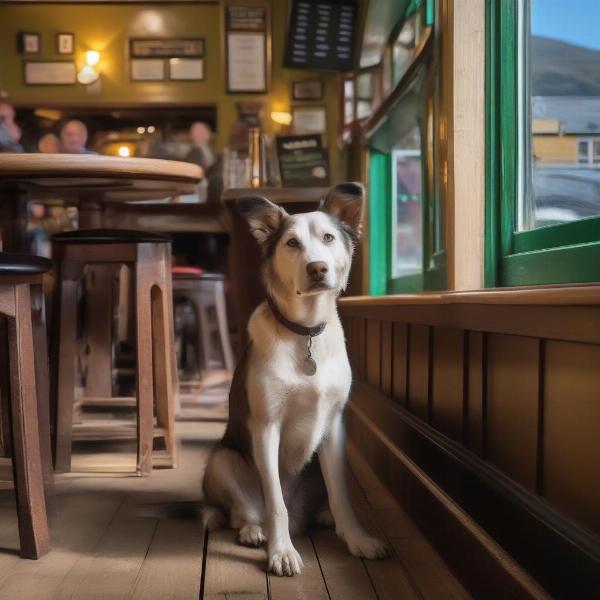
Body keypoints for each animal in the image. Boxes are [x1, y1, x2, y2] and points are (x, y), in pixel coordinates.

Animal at [202, 182, 390, 576]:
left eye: (329, 237)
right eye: (291, 243)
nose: (317, 268)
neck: (305, 332)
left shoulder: (334, 427)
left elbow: (342, 495)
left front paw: (357, 538)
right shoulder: (265, 427)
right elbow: (275, 503)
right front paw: (281, 551)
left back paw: (323, 518)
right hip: (222, 460)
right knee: (246, 511)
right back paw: (254, 530)